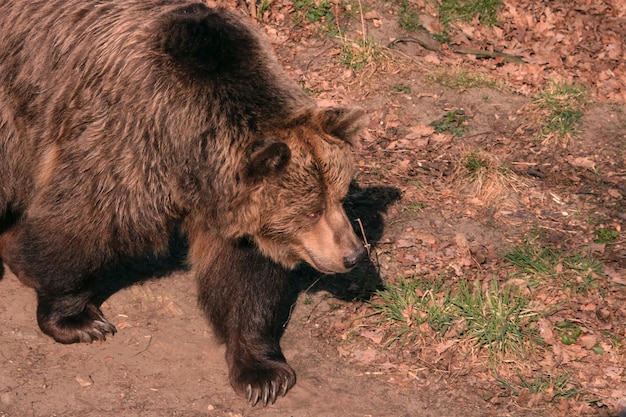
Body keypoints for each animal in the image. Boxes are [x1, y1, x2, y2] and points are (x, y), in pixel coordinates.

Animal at [1, 0, 366, 404]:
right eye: (311, 211)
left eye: (340, 197)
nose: (353, 255)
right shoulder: (125, 142)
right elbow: (80, 225)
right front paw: (79, 320)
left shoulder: (231, 208)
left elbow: (244, 278)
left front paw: (262, 374)